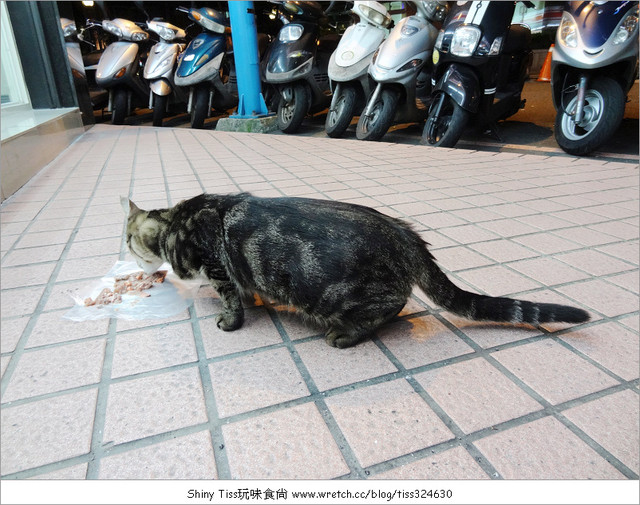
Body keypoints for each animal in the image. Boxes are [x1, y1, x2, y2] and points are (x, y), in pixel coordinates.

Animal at [120, 191, 592, 348]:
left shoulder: (216, 265)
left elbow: (231, 299)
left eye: (125, 239)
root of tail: (405, 234)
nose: (121, 249)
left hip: (340, 294)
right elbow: (244, 287)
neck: (174, 221)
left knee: (393, 306)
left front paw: (230, 319)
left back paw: (346, 334)